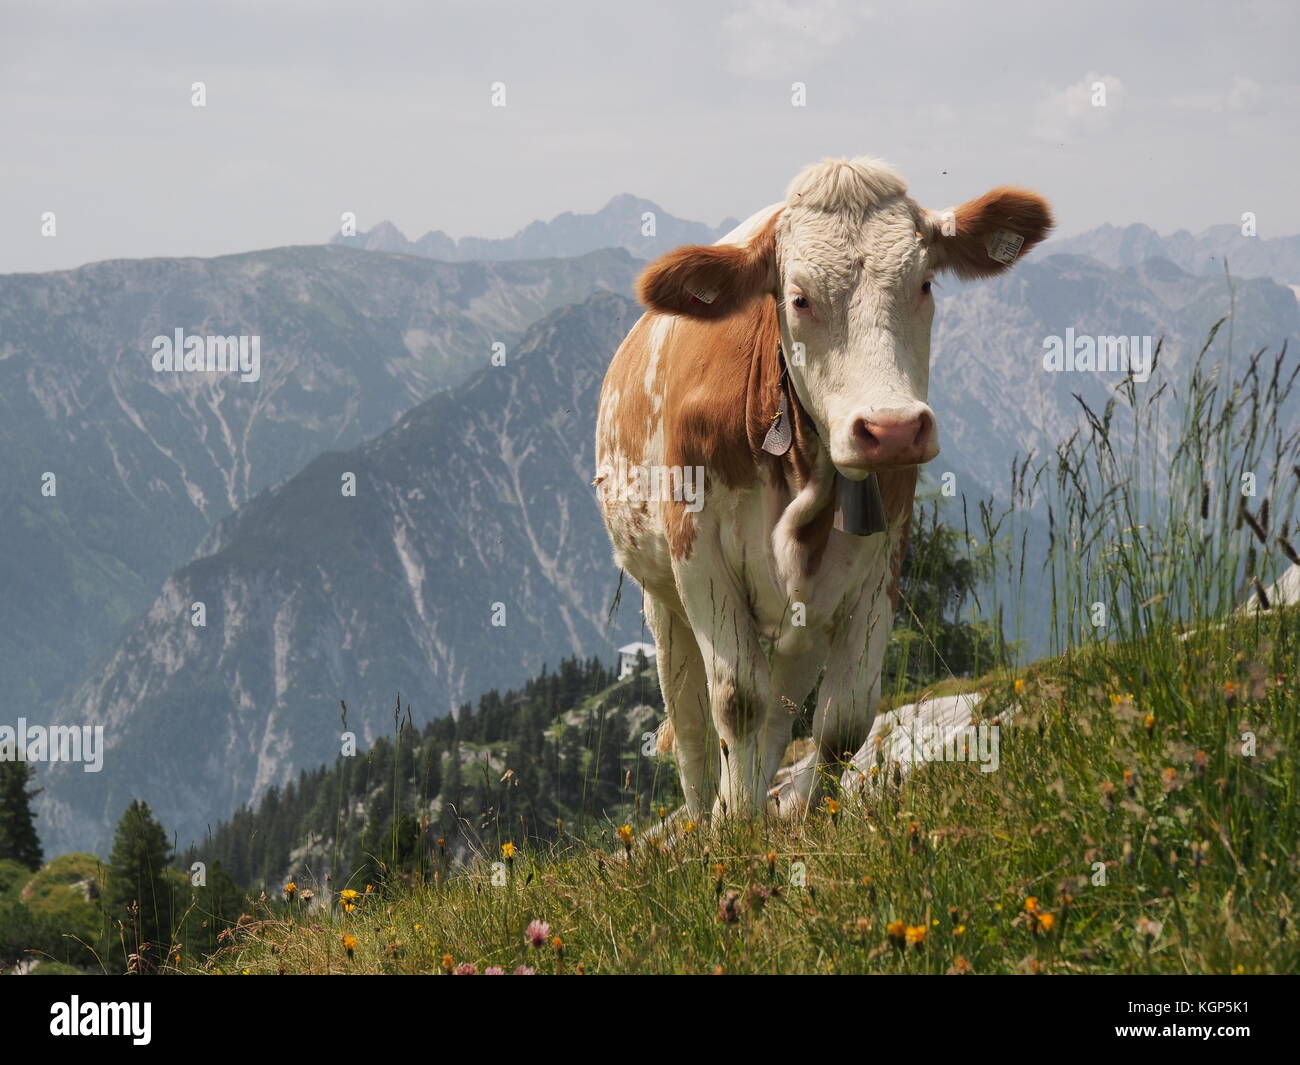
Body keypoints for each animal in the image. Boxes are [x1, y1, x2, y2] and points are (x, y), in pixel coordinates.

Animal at [595, 157, 1050, 821]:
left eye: (924, 284)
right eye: (799, 298)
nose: (892, 428)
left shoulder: (879, 563)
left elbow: (843, 720)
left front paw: (804, 819)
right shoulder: (697, 556)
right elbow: (736, 699)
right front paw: (734, 826)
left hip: (802, 621)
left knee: (780, 711)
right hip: (662, 601)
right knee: (693, 726)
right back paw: (710, 815)